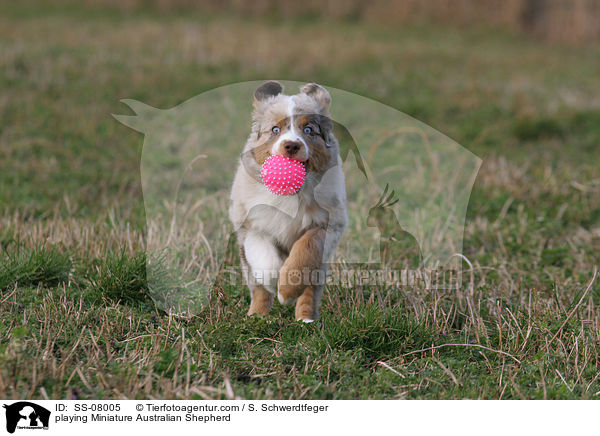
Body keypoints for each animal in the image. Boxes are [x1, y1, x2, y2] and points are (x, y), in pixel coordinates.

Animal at [231, 81, 352, 320]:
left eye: (309, 130)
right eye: (275, 130)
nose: (291, 146)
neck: (291, 195)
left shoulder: (328, 222)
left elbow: (305, 250)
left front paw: (286, 291)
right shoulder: (252, 224)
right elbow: (266, 261)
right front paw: (275, 283)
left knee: (311, 290)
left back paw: (305, 318)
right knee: (257, 289)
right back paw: (257, 315)